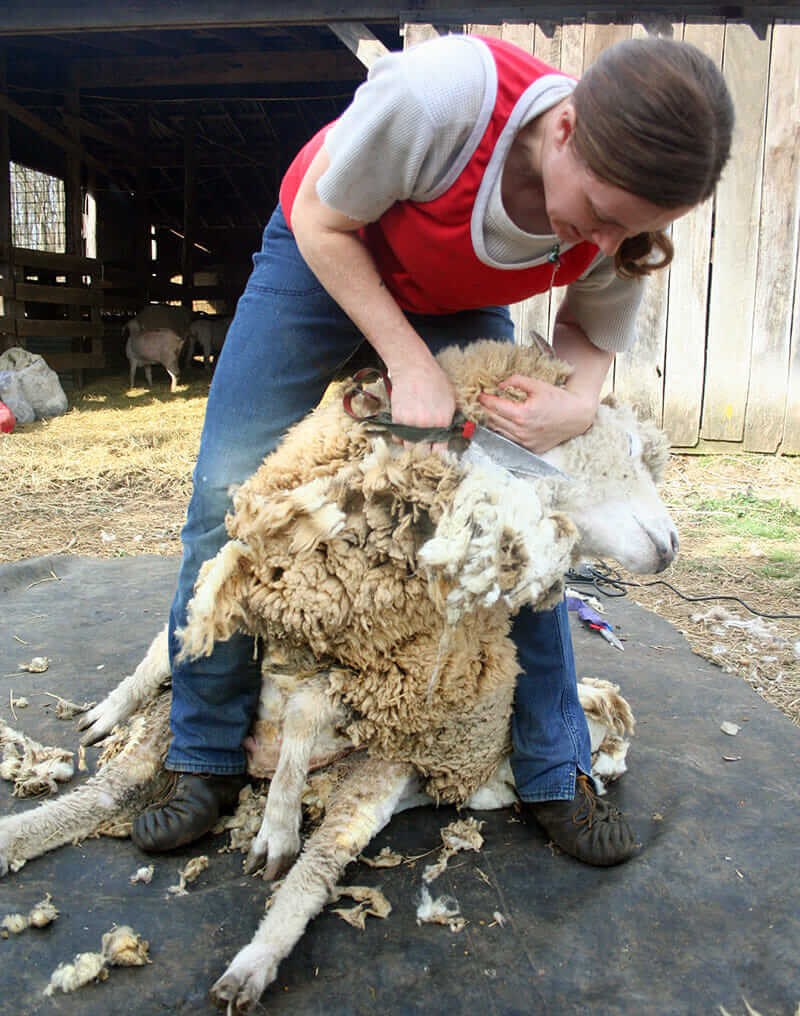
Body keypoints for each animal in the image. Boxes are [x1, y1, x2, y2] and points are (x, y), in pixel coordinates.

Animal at [0, 339, 674, 1007]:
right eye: (629, 446)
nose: (670, 545)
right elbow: (233, 676)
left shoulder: (385, 698)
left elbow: (308, 726)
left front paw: (277, 822)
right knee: (136, 724)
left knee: (129, 804)